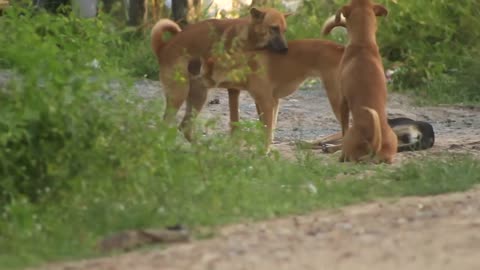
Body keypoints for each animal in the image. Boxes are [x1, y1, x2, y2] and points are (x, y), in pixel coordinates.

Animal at [150, 7, 290, 140]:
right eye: (274, 28)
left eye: (284, 31)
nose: (285, 49)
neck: (249, 39)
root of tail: (163, 47)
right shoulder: (234, 90)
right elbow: (235, 117)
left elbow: (263, 120)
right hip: (180, 94)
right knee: (166, 124)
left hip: (197, 95)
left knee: (184, 127)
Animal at [324, 0, 400, 163]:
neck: (363, 43)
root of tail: (374, 145)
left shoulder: (343, 101)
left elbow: (343, 127)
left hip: (350, 139)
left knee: (345, 144)